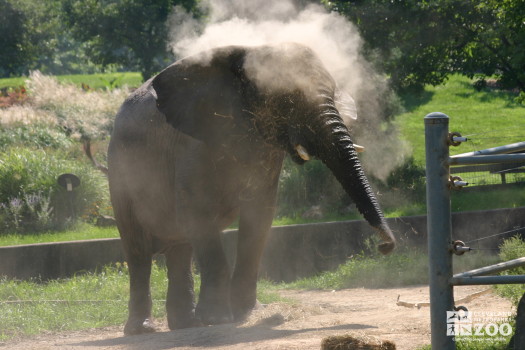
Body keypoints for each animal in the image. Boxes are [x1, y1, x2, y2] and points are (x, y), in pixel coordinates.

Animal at [108, 42, 396, 334]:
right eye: (286, 101)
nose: (384, 247)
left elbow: (259, 217)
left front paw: (247, 313)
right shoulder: (193, 144)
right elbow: (199, 214)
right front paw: (218, 319)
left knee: (180, 248)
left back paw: (187, 325)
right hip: (121, 171)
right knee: (138, 250)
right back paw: (144, 329)